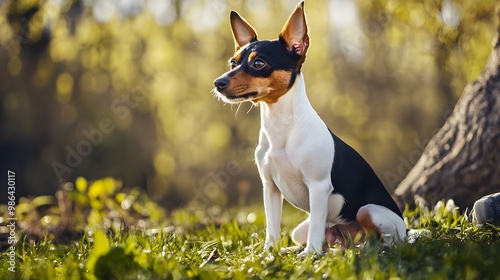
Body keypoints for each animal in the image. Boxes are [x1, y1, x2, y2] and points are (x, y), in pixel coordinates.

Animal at [212, 0, 406, 256]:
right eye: (233, 63)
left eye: (259, 63)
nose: (218, 82)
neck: (282, 127)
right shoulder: (270, 189)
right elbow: (272, 228)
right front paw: (269, 253)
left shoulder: (318, 186)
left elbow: (316, 225)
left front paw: (310, 254)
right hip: (302, 230)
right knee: (330, 241)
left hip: (369, 211)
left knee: (383, 241)